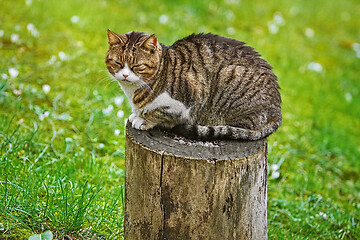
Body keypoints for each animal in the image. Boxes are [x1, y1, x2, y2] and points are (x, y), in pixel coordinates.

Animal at [105, 29, 282, 141]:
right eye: (118, 63)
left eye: (137, 66)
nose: (125, 75)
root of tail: (277, 111)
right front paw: (137, 114)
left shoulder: (189, 98)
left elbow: (159, 113)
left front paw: (143, 119)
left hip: (230, 77)